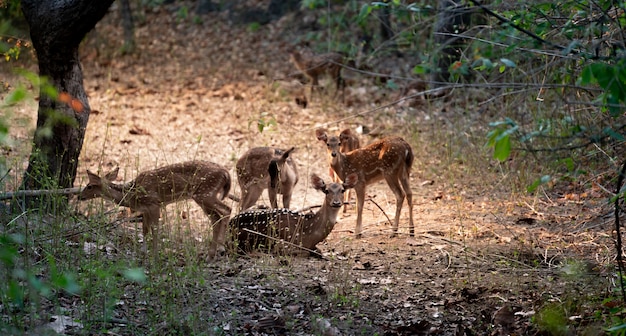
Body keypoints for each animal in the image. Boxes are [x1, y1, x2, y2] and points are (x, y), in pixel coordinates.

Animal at [78, 161, 232, 258]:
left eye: (89, 186)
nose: (80, 196)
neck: (132, 194)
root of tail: (226, 173)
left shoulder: (154, 203)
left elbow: (155, 229)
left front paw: (155, 253)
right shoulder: (145, 209)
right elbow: (145, 230)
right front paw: (144, 252)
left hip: (204, 193)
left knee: (225, 211)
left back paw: (217, 250)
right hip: (205, 195)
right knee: (219, 215)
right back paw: (215, 252)